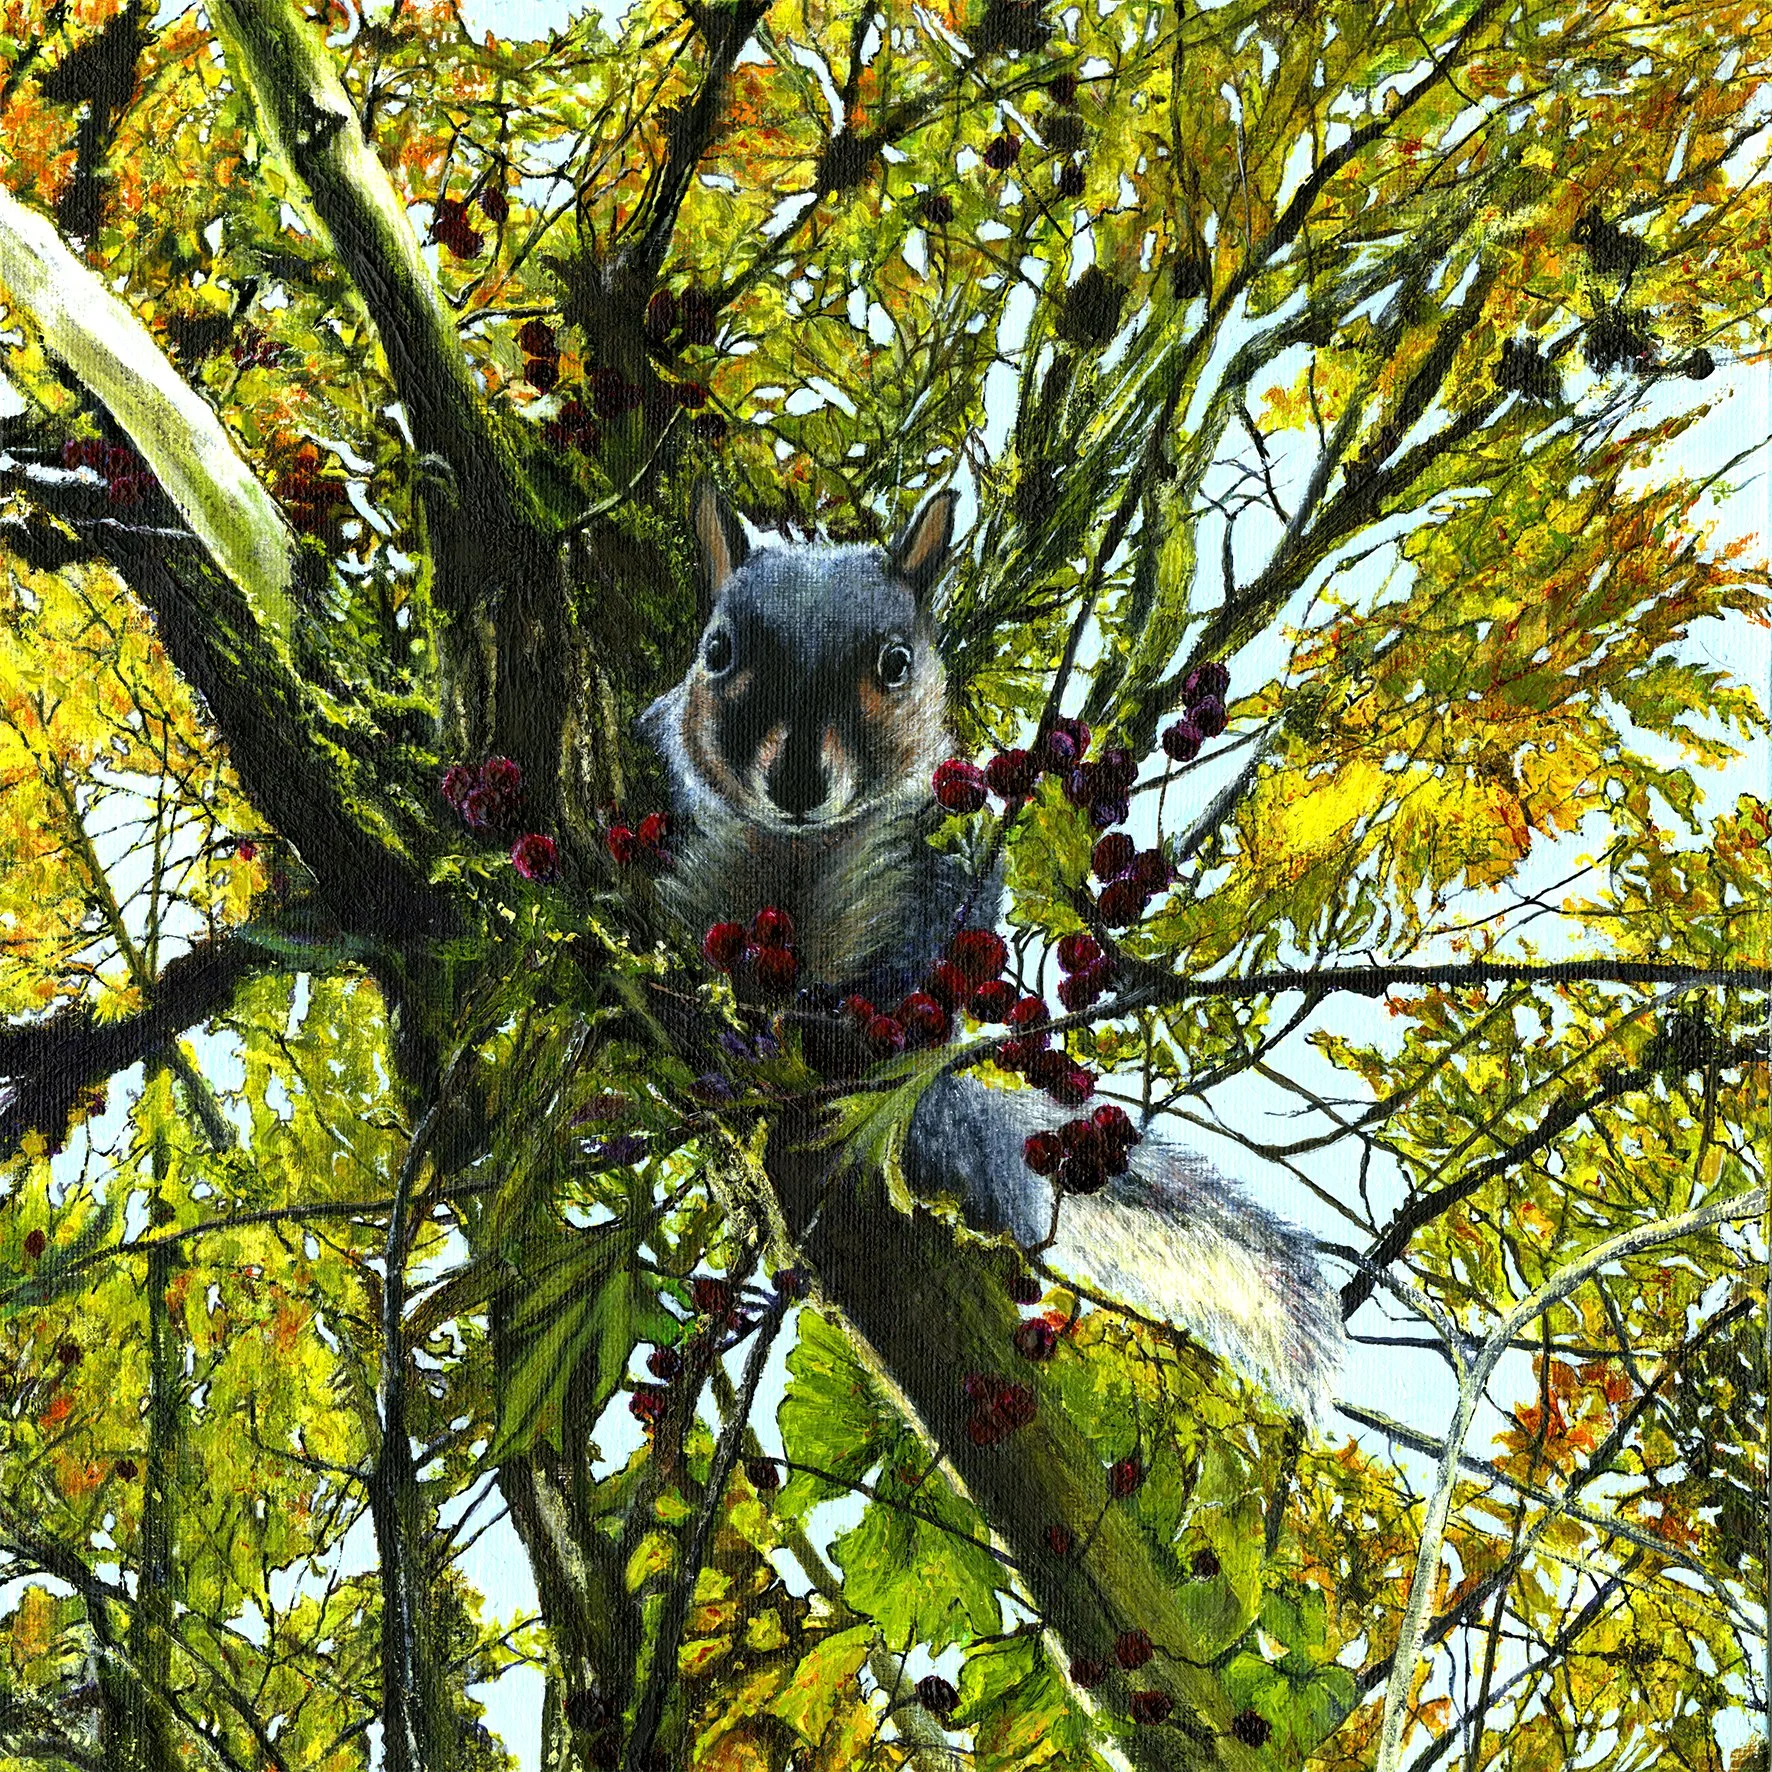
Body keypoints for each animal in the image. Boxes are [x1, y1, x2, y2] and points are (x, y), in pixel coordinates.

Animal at [640, 482, 1344, 1420]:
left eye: (896, 663)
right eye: (716, 652)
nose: (795, 784)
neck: (798, 851)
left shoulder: (940, 863)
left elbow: (928, 961)